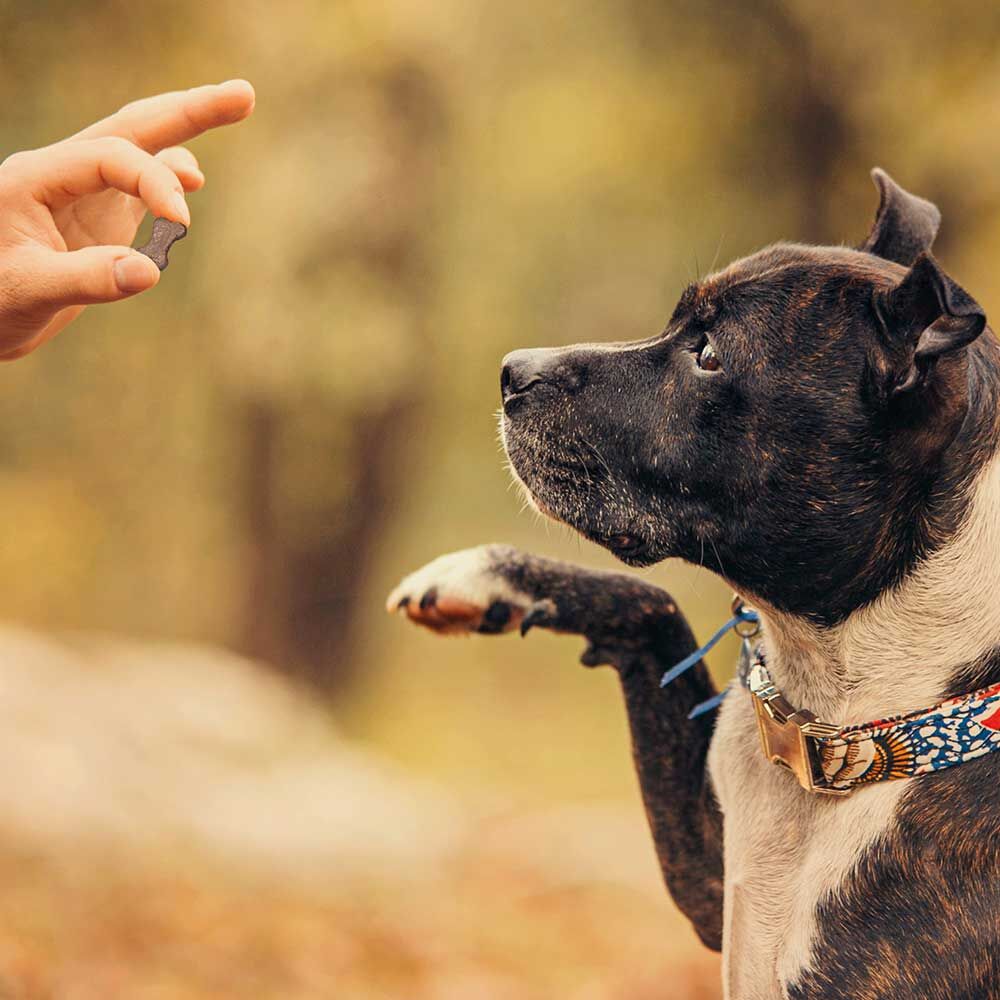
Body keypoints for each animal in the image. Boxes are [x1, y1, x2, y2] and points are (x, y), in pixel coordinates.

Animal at [386, 172, 1000, 1000]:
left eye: (707, 354)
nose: (512, 371)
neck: (842, 721)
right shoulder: (712, 883)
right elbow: (652, 605)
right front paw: (483, 575)